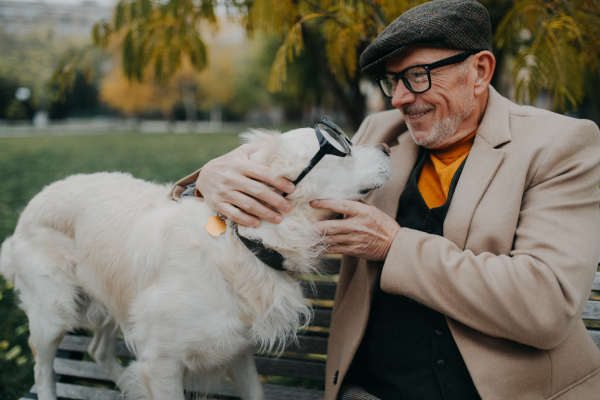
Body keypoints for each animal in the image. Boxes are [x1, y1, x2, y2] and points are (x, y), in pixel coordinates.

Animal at [0, 127, 392, 400]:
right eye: (343, 148)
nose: (389, 148)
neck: (243, 243)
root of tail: (29, 207)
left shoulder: (238, 350)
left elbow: (255, 391)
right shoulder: (162, 364)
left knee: (98, 350)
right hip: (52, 313)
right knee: (42, 368)